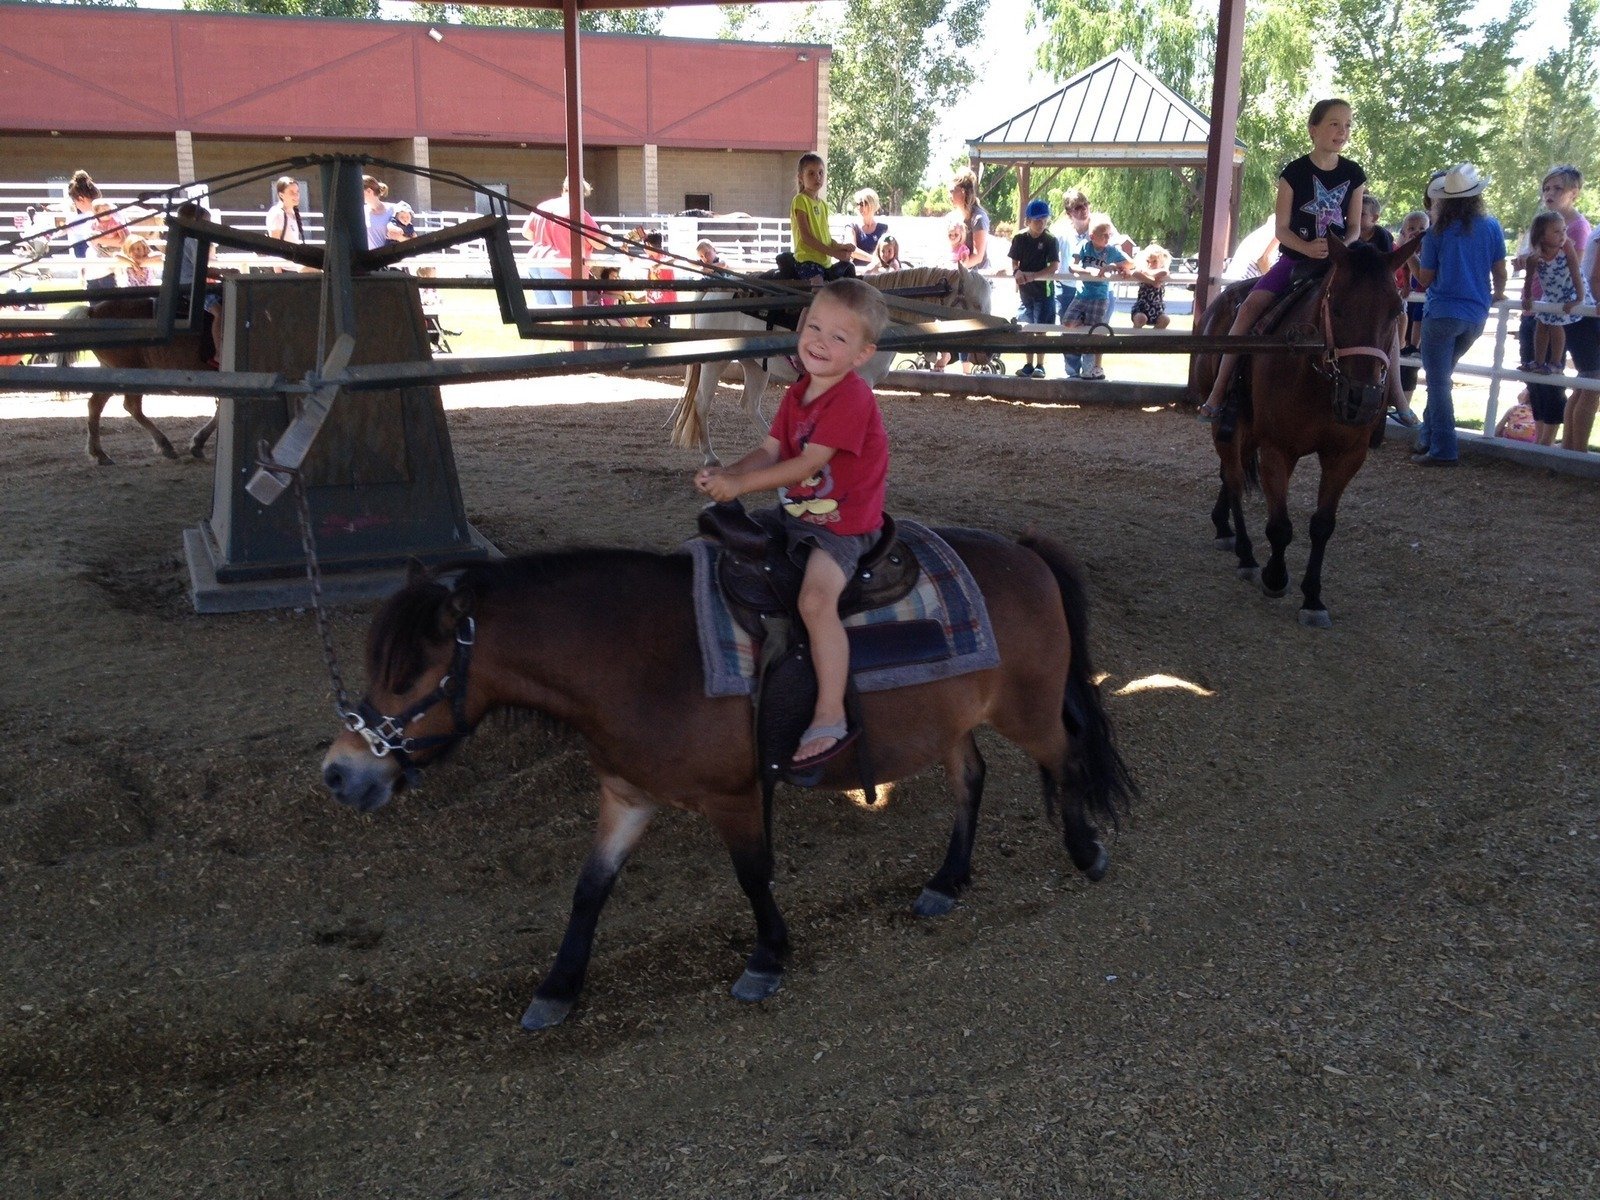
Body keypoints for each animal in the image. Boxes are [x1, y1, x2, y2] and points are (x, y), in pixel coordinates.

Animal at [63, 299, 216, 467]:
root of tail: (93, 310)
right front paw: (197, 444)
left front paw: (198, 444)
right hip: (126, 371)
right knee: (131, 406)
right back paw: (165, 446)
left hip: (112, 372)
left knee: (96, 404)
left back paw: (99, 454)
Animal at [318, 534, 1132, 1036]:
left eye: (408, 676)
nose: (339, 772)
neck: (642, 657)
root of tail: (1023, 553)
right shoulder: (626, 797)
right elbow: (589, 890)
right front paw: (558, 988)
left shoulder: (735, 797)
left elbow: (752, 875)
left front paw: (767, 958)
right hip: (955, 720)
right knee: (971, 780)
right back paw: (947, 880)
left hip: (1028, 710)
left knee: (1065, 758)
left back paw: (1085, 850)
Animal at [1190, 235, 1427, 630]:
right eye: (1338, 305)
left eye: (1395, 310)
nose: (1362, 398)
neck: (1316, 372)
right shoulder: (1277, 449)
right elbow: (1280, 525)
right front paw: (1274, 577)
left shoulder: (1346, 457)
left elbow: (1322, 525)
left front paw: (1313, 598)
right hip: (1229, 423)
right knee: (1234, 477)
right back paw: (1245, 553)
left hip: (1248, 427)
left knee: (1230, 474)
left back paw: (1224, 527)